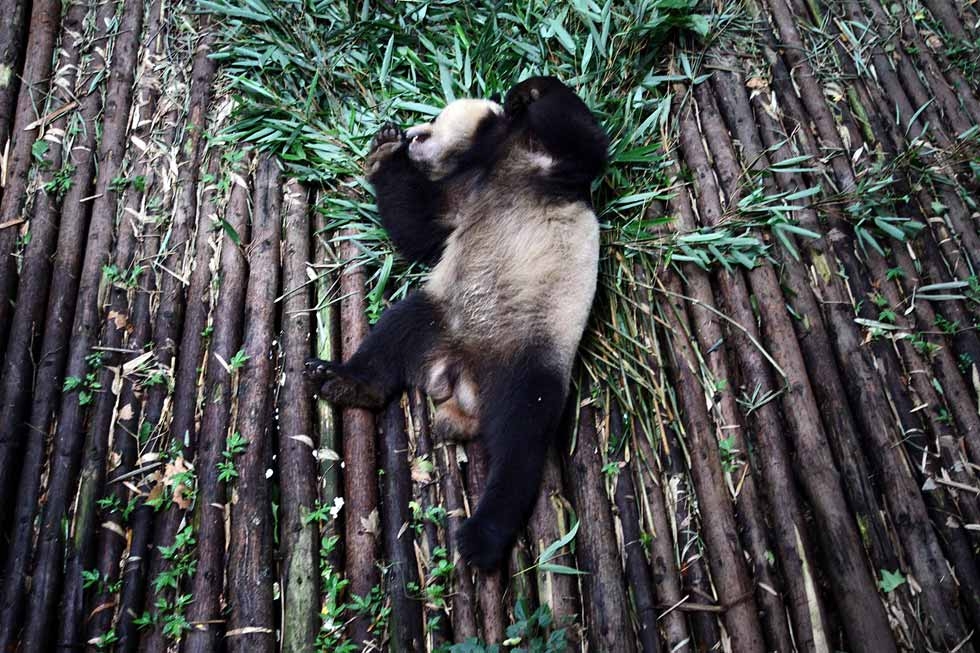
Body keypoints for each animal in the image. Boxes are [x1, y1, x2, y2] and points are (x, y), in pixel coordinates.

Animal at [306, 75, 608, 564]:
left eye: (430, 128)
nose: (412, 136)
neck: (506, 154)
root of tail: (459, 380)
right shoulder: (467, 193)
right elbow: (420, 228)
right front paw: (384, 148)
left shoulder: (557, 171)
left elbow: (586, 140)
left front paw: (528, 92)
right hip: (440, 316)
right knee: (394, 333)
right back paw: (343, 380)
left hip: (531, 360)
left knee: (521, 440)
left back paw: (481, 537)